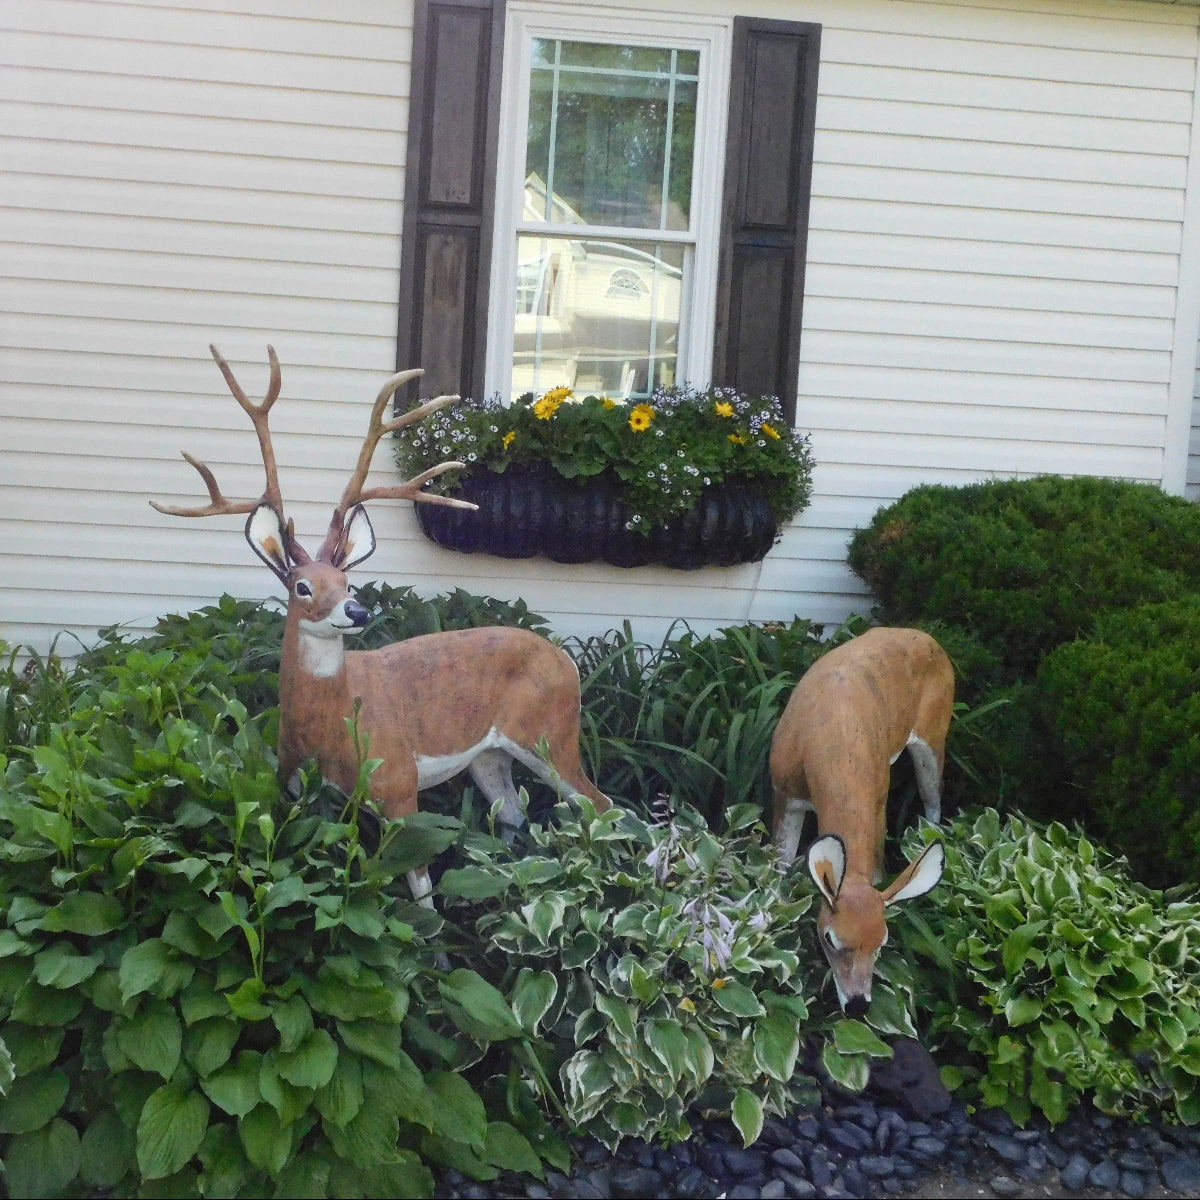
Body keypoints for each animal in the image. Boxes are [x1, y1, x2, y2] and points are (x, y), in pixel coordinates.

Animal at [153, 346, 611, 903]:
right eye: (302, 586)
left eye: (348, 581)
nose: (357, 612)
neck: (329, 731)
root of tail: (566, 657)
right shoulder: (296, 789)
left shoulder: (398, 782)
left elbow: (419, 888)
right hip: (490, 754)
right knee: (514, 817)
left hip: (550, 733)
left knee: (600, 804)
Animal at [769, 626, 953, 1017]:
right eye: (829, 938)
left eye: (882, 942)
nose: (858, 1005)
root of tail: (927, 636)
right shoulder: (783, 791)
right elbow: (778, 866)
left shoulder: (878, 793)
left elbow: (879, 868)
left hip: (934, 733)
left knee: (934, 798)